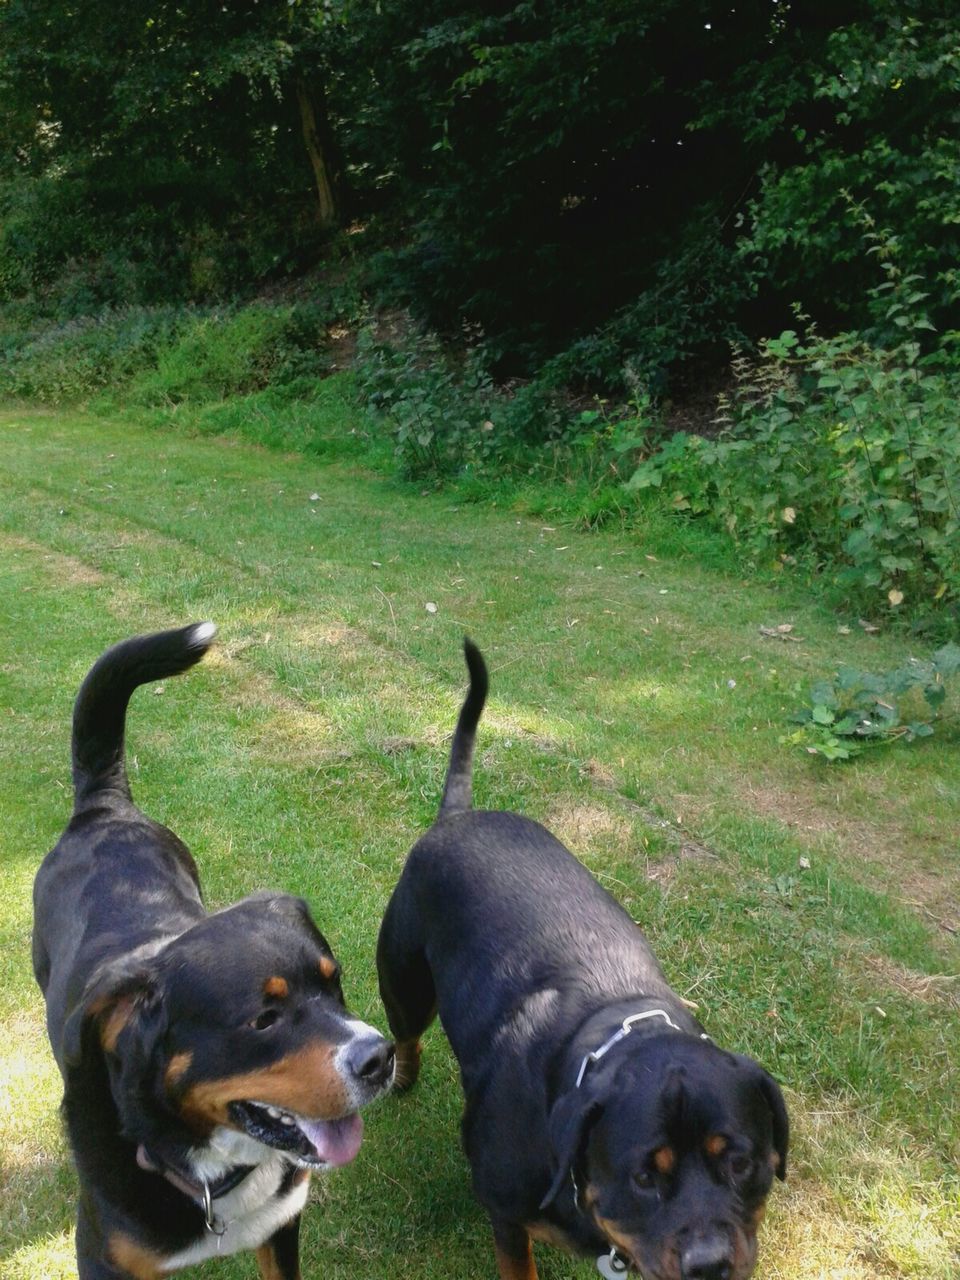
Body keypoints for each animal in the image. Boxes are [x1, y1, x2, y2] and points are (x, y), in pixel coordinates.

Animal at [376, 640, 788, 1280]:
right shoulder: (507, 1210)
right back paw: (401, 1077)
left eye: (741, 1161)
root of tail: (457, 816)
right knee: (406, 1033)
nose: (709, 1262)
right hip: (404, 980)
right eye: (643, 1176)